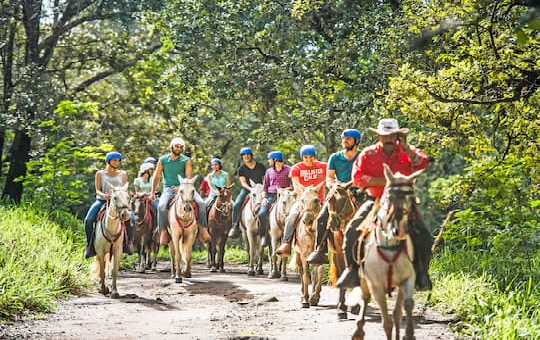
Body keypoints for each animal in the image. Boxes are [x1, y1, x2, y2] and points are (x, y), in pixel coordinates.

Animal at [352, 163, 424, 338]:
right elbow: (386, 322)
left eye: (411, 199)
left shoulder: (407, 279)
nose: (399, 230)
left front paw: (409, 334)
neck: (390, 246)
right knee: (365, 298)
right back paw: (358, 330)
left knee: (397, 313)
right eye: (389, 197)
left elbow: (406, 306)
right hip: (364, 280)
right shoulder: (376, 285)